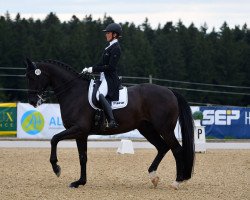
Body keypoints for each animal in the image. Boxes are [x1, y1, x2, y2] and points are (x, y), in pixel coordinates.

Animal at [25, 57, 194, 189]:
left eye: (32, 78)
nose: (32, 101)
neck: (74, 92)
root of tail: (170, 91)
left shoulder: (78, 129)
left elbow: (54, 139)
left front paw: (56, 168)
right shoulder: (81, 134)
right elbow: (82, 157)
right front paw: (80, 182)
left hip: (165, 129)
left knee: (177, 150)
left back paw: (177, 182)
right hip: (147, 129)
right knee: (162, 147)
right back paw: (154, 177)